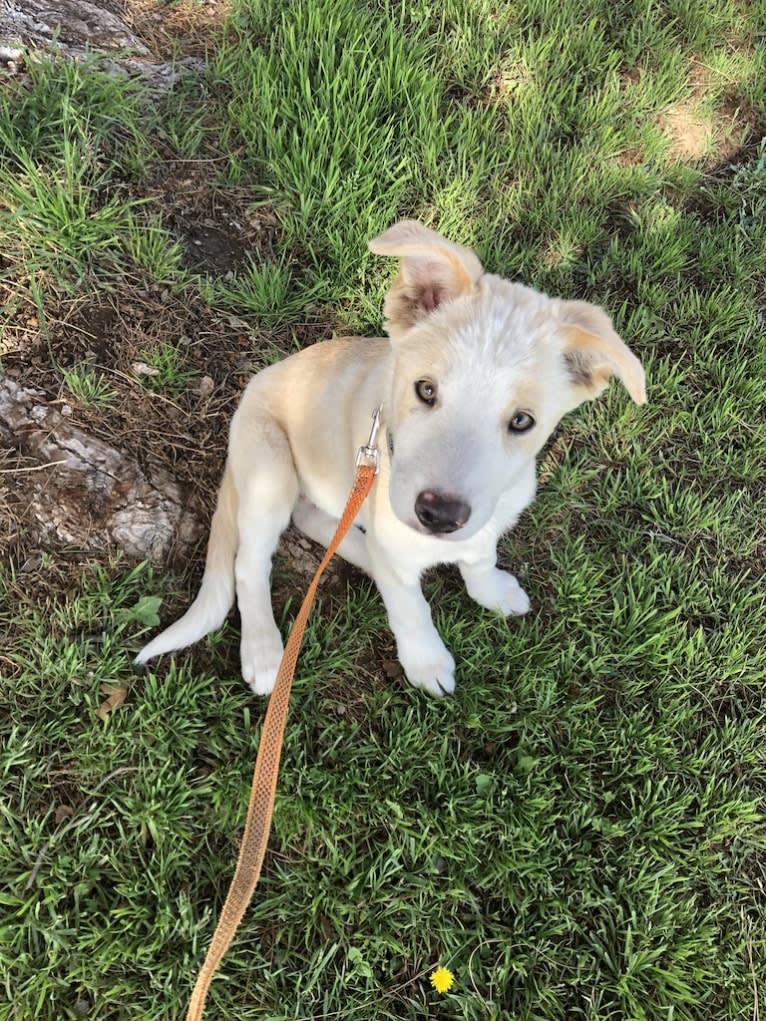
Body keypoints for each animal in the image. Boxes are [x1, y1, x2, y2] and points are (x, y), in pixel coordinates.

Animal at [136, 220, 649, 698]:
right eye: (426, 390)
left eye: (522, 421)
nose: (439, 516)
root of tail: (250, 392)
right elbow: (411, 608)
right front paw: (426, 661)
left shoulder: (481, 524)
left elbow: (479, 562)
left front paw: (491, 591)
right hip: (270, 471)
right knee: (251, 563)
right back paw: (264, 651)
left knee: (318, 522)